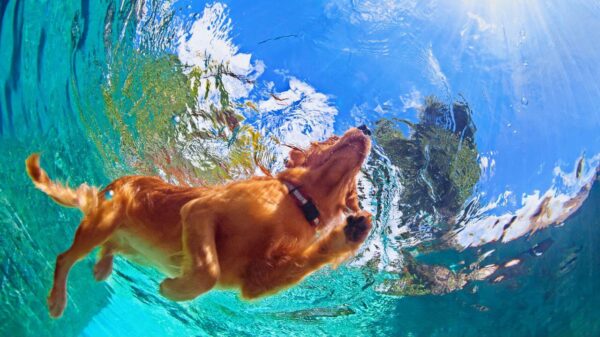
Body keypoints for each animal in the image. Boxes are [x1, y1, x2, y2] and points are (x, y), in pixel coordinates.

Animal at [25, 126, 372, 318]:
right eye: (330, 138)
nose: (366, 127)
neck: (296, 202)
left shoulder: (256, 280)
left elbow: (298, 263)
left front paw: (353, 232)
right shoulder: (200, 210)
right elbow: (208, 270)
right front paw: (175, 289)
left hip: (132, 247)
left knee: (109, 248)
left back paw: (102, 267)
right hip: (102, 224)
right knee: (64, 258)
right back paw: (57, 299)